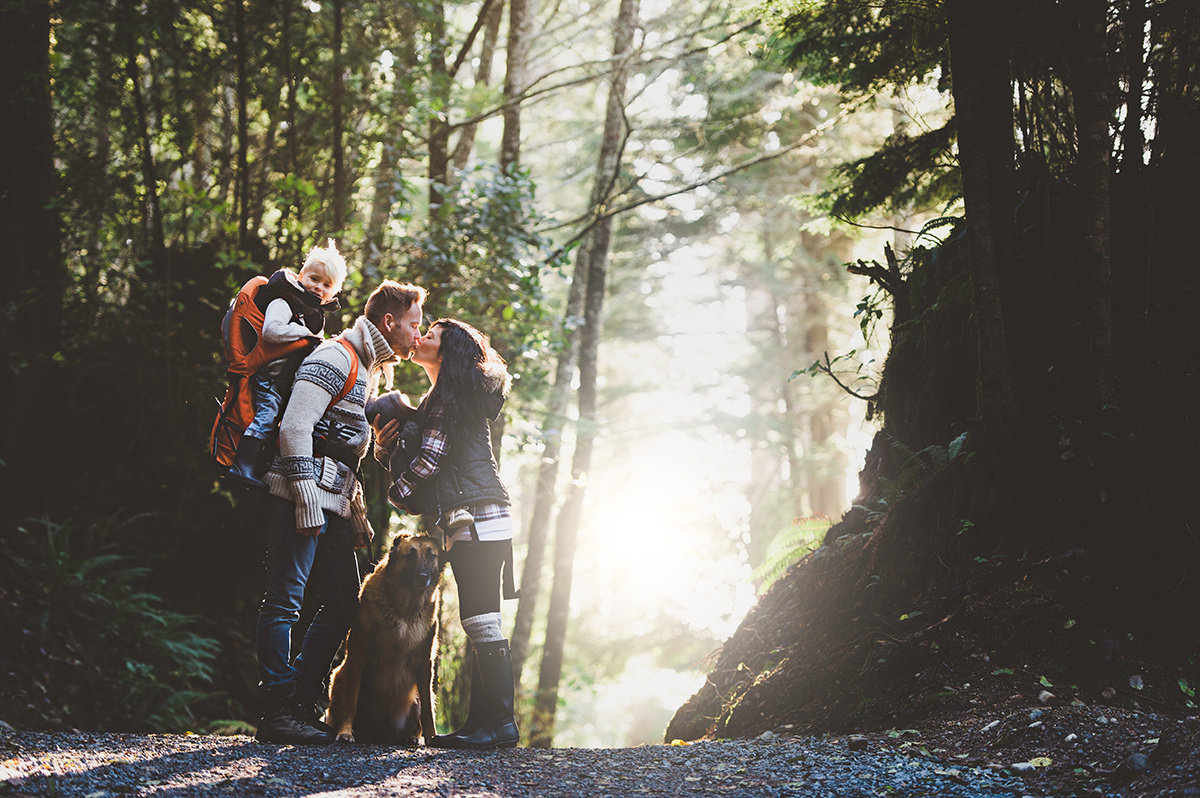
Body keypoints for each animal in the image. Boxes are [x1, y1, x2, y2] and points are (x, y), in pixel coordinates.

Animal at [326, 532, 444, 744]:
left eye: (432, 556)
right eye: (410, 555)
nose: (423, 577)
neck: (406, 608)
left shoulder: (425, 662)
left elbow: (428, 711)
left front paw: (432, 737)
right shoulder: (359, 651)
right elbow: (351, 700)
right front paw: (346, 732)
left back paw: (413, 737)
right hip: (340, 674)